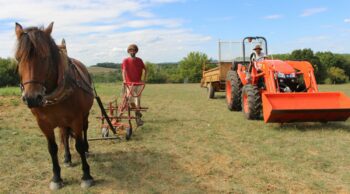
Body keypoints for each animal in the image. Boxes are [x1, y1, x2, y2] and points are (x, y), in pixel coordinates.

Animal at [15, 22, 94, 189]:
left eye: (44, 57)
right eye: (18, 58)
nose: (31, 98)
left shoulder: (76, 119)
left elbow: (79, 145)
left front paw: (86, 176)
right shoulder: (43, 124)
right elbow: (52, 148)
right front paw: (56, 178)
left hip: (84, 115)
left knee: (84, 131)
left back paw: (86, 150)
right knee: (64, 134)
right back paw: (67, 158)